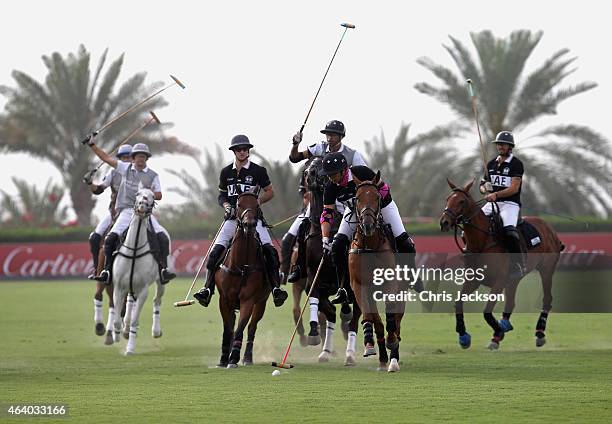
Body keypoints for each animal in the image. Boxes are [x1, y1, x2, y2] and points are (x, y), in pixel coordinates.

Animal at [106, 189, 166, 354]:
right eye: (138, 194)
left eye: (153, 197)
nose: (142, 205)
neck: (133, 250)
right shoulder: (119, 287)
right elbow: (117, 320)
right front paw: (117, 335)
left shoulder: (144, 289)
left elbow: (135, 321)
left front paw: (130, 349)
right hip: (130, 286)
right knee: (130, 302)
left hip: (160, 282)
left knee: (156, 300)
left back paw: (156, 331)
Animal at [218, 190, 270, 366]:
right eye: (239, 204)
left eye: (256, 204)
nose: (249, 225)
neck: (241, 266)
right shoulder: (224, 299)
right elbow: (228, 329)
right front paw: (223, 359)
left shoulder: (248, 300)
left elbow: (240, 329)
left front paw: (233, 358)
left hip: (261, 302)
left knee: (252, 327)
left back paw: (247, 357)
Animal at [350, 171, 402, 372]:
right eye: (357, 198)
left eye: (377, 197)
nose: (368, 225)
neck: (370, 246)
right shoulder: (359, 285)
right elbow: (369, 316)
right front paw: (370, 345)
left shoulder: (391, 282)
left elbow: (391, 315)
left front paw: (391, 341)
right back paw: (383, 358)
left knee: (397, 319)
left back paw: (393, 358)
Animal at [440, 177, 564, 350]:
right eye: (447, 199)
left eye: (462, 201)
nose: (444, 222)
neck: (482, 242)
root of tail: (549, 227)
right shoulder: (473, 280)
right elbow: (458, 304)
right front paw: (464, 336)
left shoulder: (498, 281)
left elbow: (486, 312)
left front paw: (498, 331)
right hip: (514, 278)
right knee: (511, 302)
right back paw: (503, 328)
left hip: (546, 269)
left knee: (547, 299)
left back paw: (539, 333)